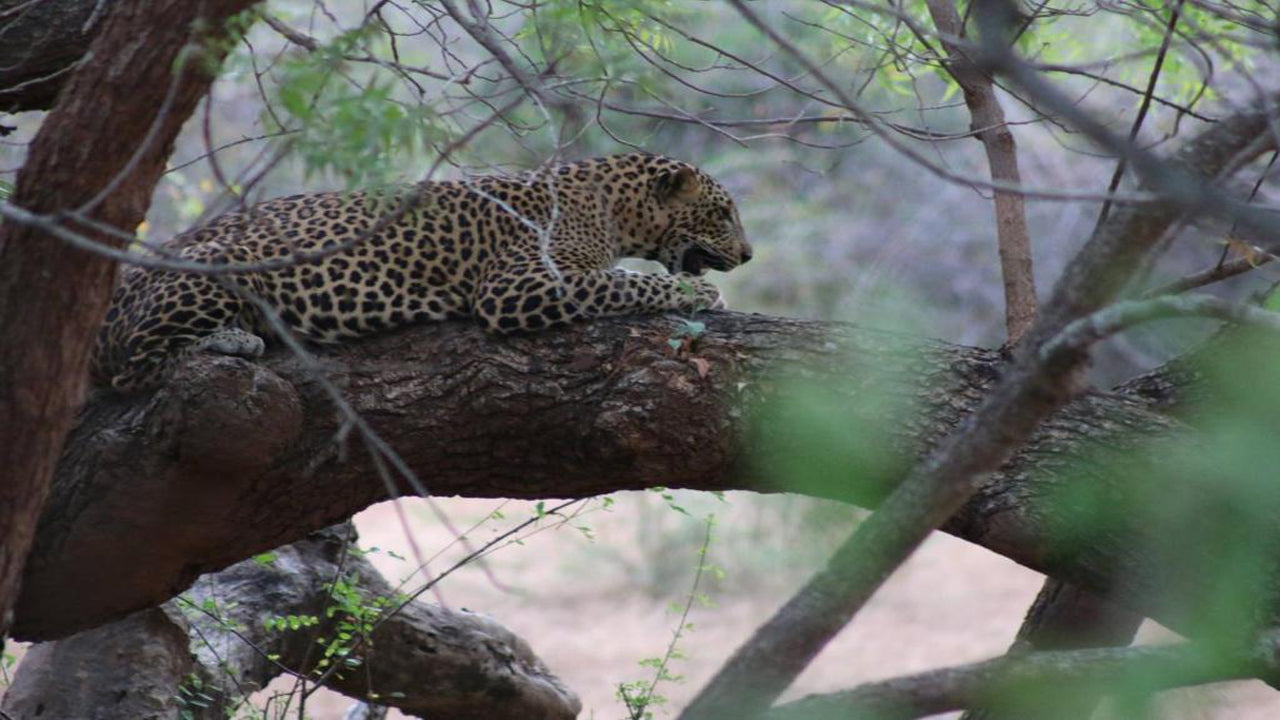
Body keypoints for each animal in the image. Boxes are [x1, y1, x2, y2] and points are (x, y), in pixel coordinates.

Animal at [94, 148, 752, 389]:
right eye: (723, 212)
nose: (749, 255)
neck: (615, 208)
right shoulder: (518, 285)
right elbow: (625, 282)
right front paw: (694, 293)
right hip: (218, 263)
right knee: (132, 366)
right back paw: (232, 339)